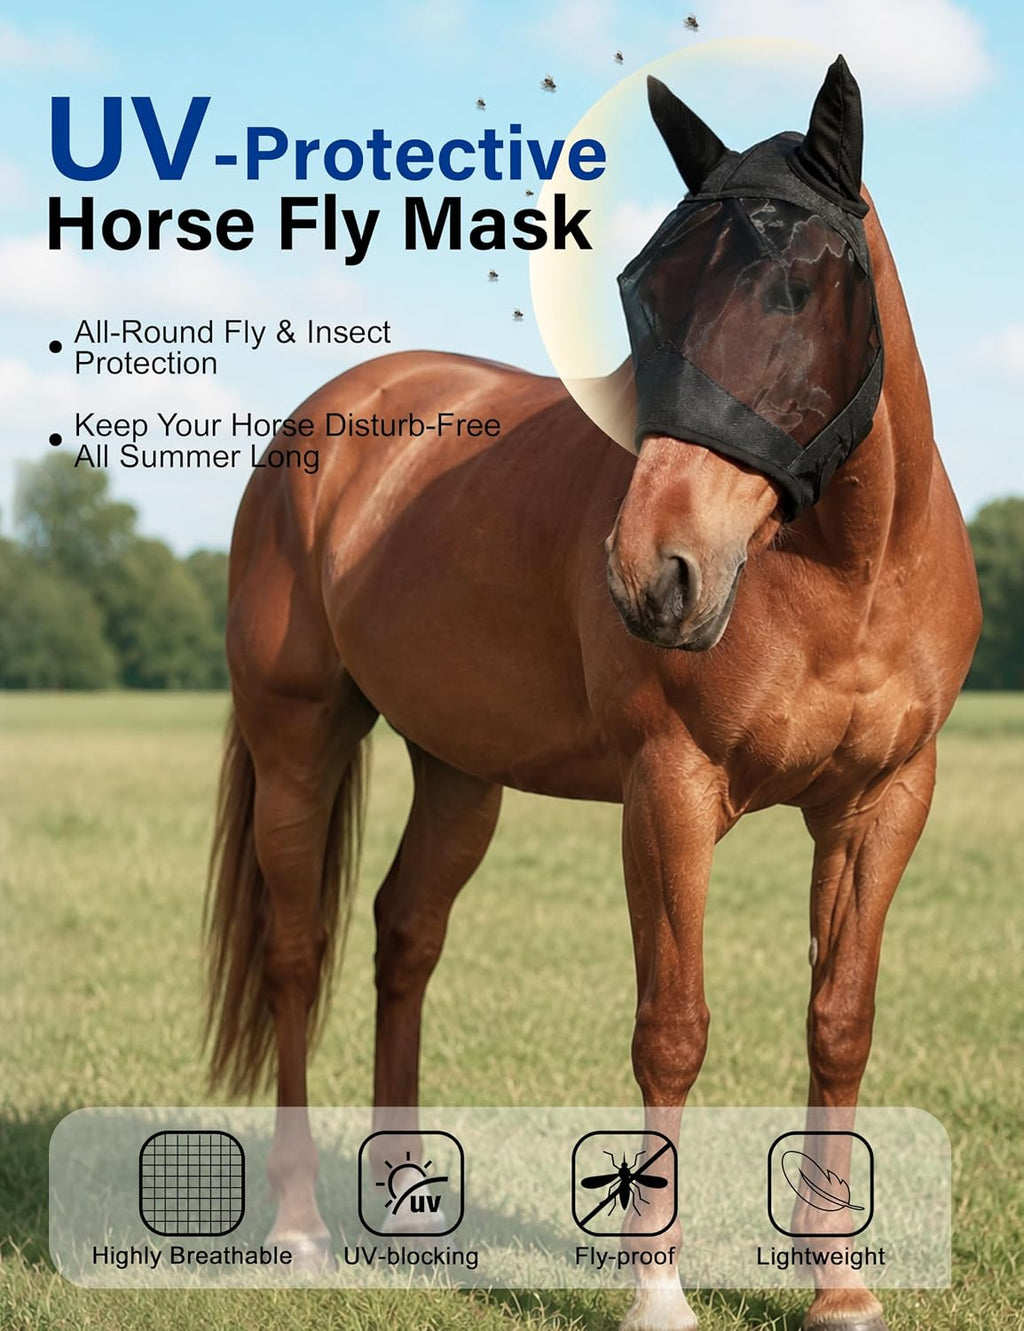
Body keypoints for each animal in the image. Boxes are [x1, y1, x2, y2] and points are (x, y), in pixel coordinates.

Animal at [205, 57, 979, 1331]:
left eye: (802, 285)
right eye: (640, 289)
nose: (652, 570)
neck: (845, 575)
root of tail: (332, 419)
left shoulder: (883, 802)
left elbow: (840, 1020)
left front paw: (838, 1282)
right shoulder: (667, 791)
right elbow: (672, 1028)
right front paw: (656, 1287)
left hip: (458, 769)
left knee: (403, 933)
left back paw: (406, 1199)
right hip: (297, 736)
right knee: (298, 950)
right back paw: (302, 1225)